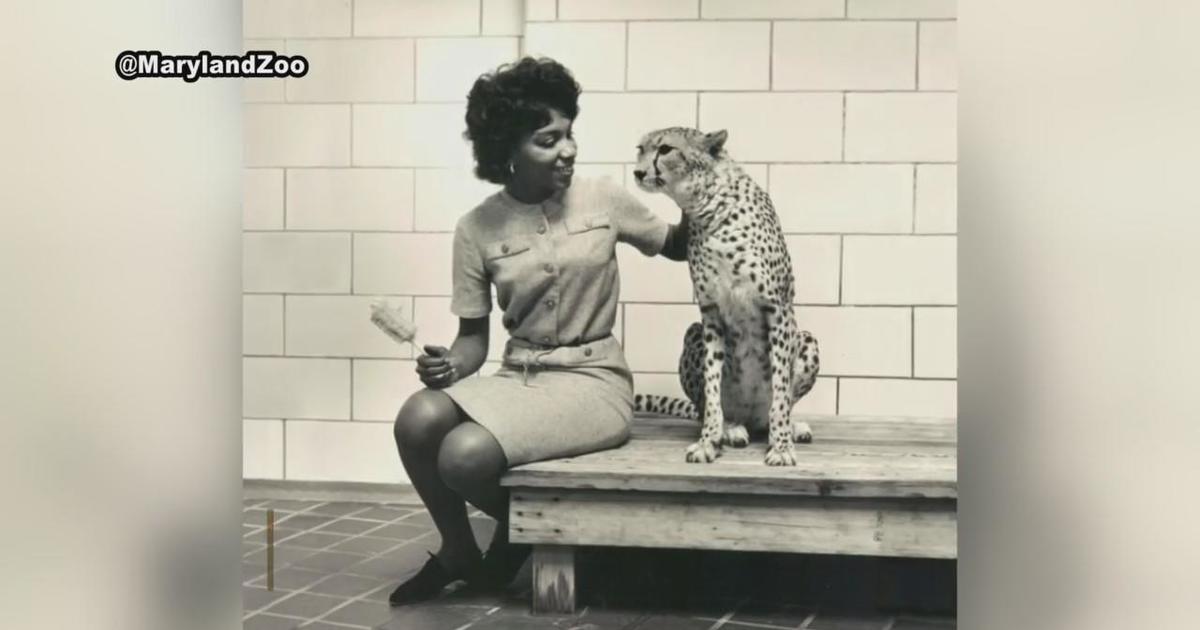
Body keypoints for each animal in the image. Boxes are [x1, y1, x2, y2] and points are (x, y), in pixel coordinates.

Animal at [624, 125, 820, 463]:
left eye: (665, 149)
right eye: (640, 149)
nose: (637, 172)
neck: (709, 208)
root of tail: (752, 418)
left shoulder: (778, 308)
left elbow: (781, 390)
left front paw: (781, 445)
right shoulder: (711, 313)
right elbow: (712, 387)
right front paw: (708, 440)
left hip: (806, 338)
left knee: (776, 407)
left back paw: (789, 427)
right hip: (693, 332)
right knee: (706, 407)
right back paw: (731, 429)